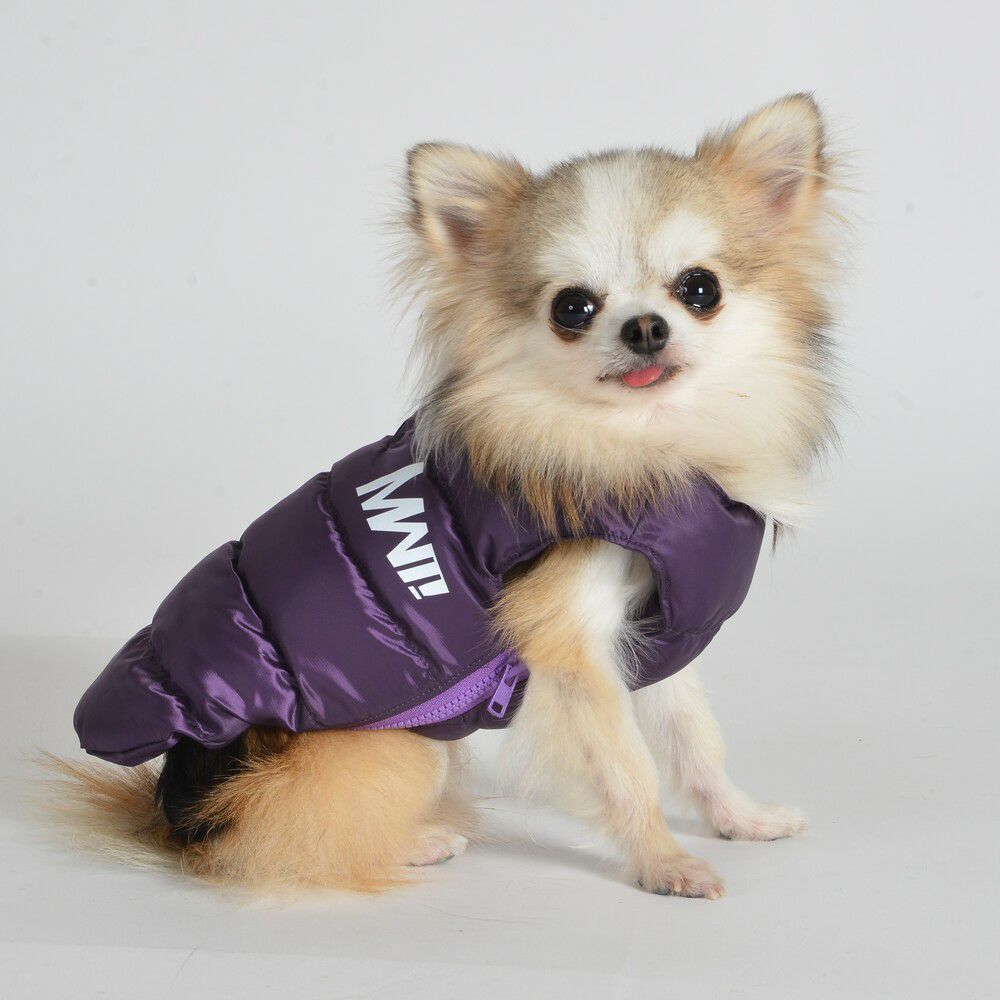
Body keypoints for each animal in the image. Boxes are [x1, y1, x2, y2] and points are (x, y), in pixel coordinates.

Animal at [47, 93, 841, 899]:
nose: (645, 326)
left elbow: (693, 742)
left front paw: (739, 818)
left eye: (700, 289)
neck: (638, 447)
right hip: (402, 748)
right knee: (286, 841)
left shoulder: (649, 638)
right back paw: (418, 841)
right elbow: (627, 768)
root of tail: (177, 813)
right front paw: (663, 861)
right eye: (573, 309)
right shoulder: (571, 650)